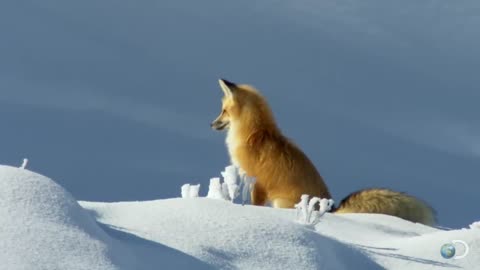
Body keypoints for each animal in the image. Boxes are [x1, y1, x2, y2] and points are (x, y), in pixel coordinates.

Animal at [210, 78, 436, 226]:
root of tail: (330, 209)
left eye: (223, 111)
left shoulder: (259, 183)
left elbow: (255, 206)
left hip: (281, 202)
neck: (255, 134)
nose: (211, 124)